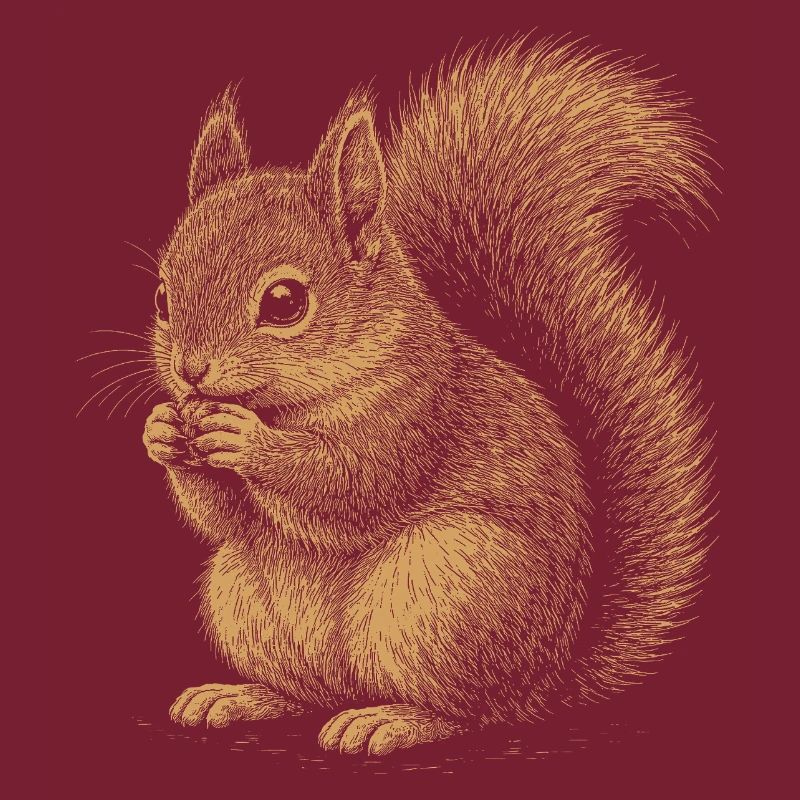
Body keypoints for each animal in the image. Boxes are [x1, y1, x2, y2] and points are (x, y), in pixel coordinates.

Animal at [142, 37, 714, 756]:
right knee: (310, 692)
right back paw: (242, 696)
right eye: (163, 297)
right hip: (243, 598)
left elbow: (349, 486)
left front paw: (247, 442)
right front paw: (163, 431)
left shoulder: (419, 409)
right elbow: (224, 519)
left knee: (469, 711)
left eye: (284, 302)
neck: (287, 402)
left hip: (445, 591)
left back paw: (392, 719)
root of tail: (545, 684)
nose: (190, 372)